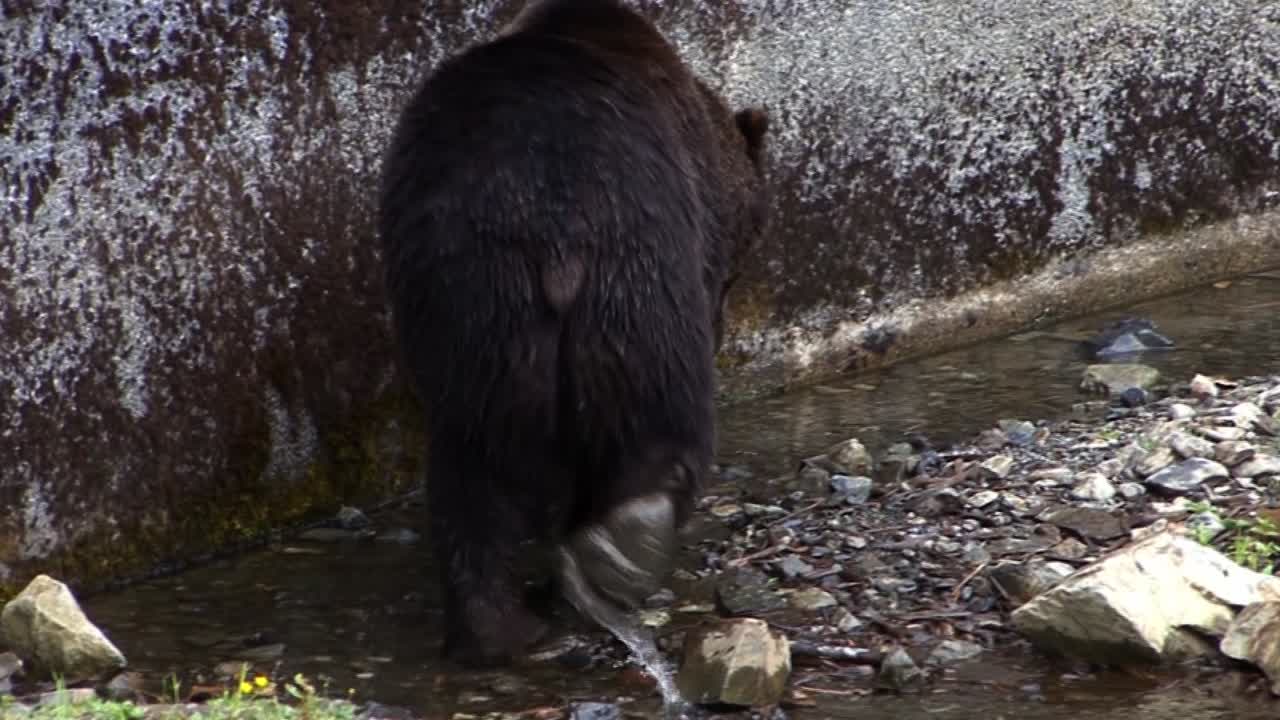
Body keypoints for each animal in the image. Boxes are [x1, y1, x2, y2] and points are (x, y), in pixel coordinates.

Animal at [378, 0, 770, 667]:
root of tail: (552, 235)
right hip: (636, 280)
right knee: (659, 407)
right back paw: (628, 536)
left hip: (476, 310)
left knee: (469, 470)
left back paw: (497, 630)